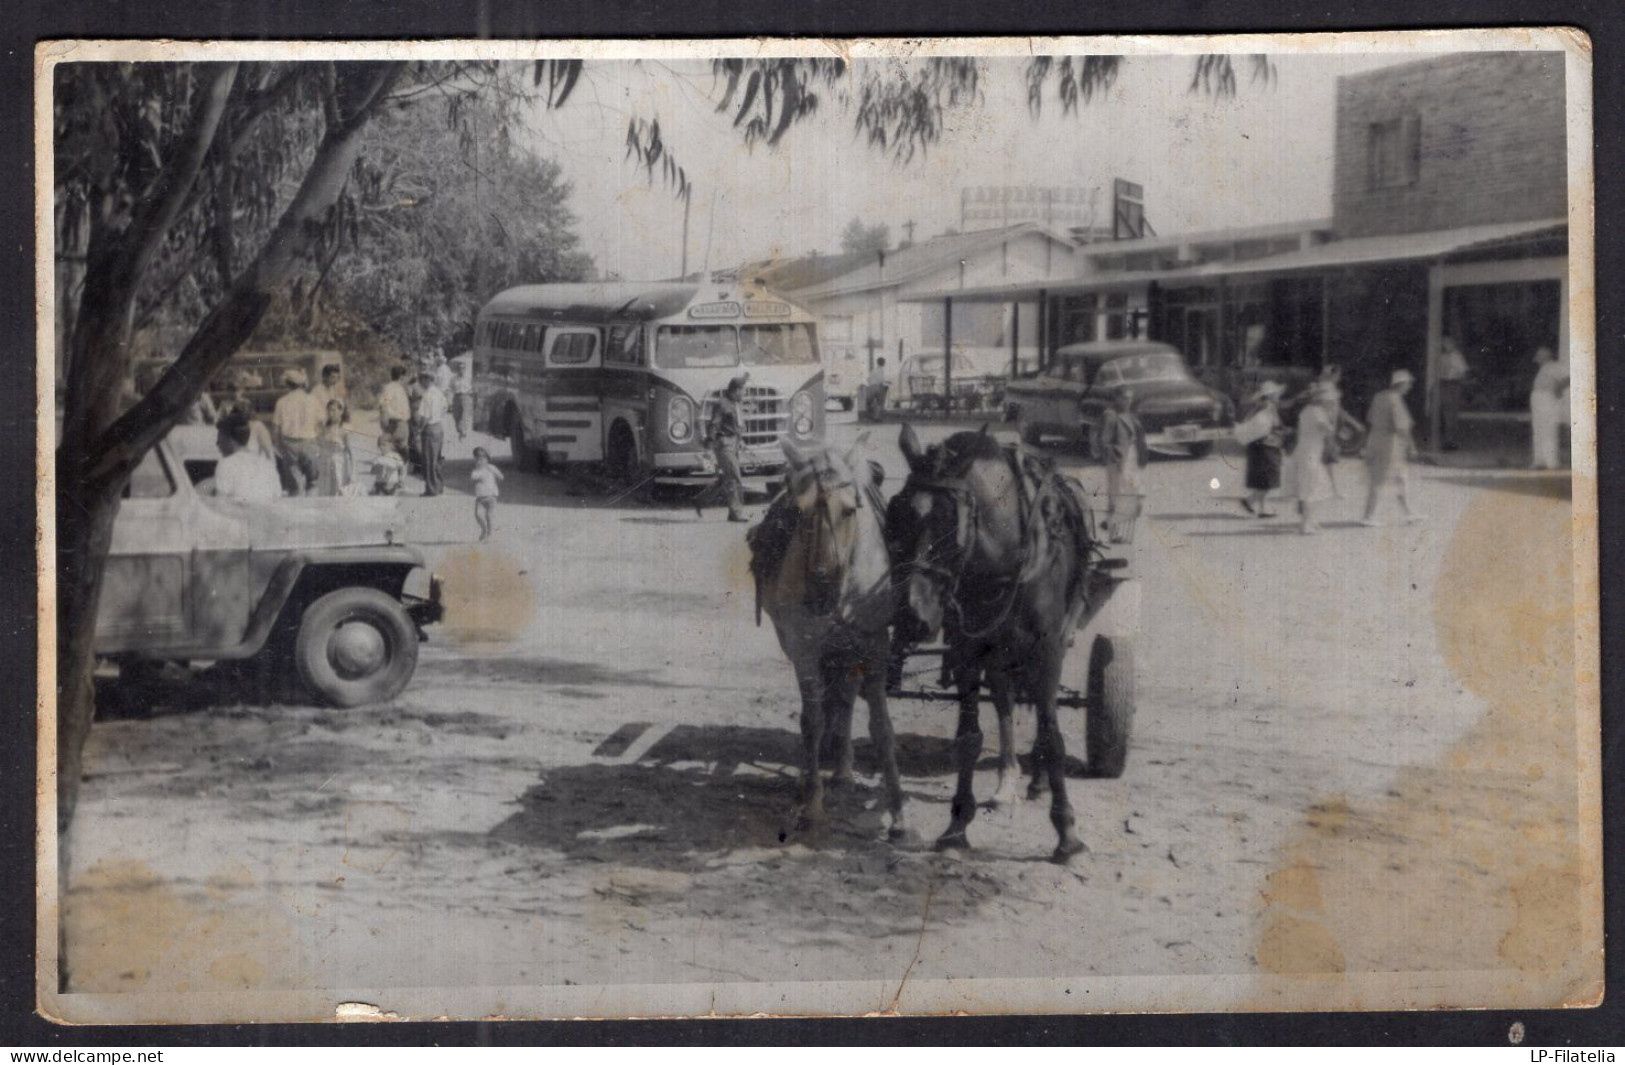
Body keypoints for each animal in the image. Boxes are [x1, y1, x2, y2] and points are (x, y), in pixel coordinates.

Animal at [750, 435, 916, 838]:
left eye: (850, 510)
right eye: (799, 511)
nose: (821, 589)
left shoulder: (875, 648)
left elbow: (880, 727)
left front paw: (898, 812)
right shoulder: (806, 649)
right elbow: (812, 721)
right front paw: (811, 802)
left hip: (849, 654)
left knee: (845, 700)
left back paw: (842, 772)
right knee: (827, 706)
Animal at [884, 426, 1098, 865]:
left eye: (949, 522)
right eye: (895, 515)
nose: (912, 617)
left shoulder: (1047, 651)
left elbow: (1053, 736)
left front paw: (1067, 834)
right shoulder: (968, 651)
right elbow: (970, 736)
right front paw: (956, 826)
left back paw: (1036, 782)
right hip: (1000, 654)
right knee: (1004, 700)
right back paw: (1007, 782)